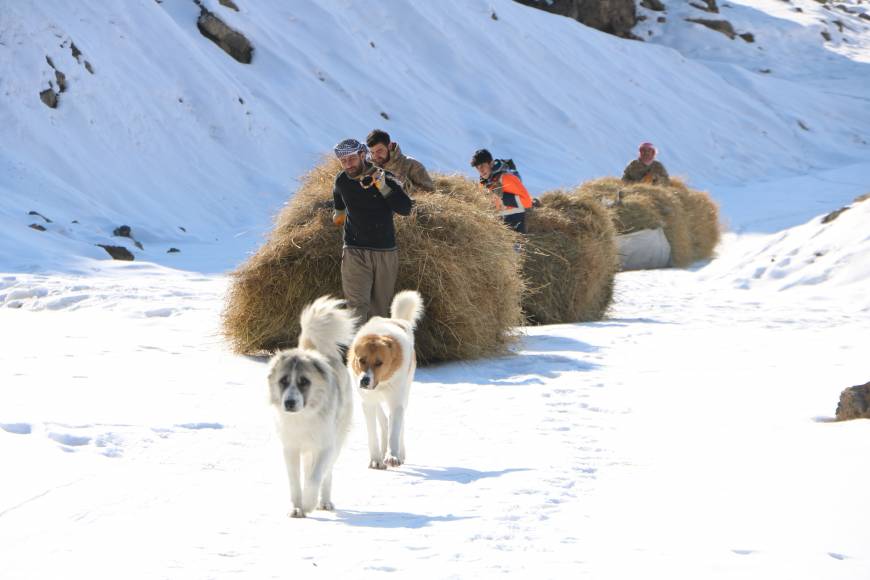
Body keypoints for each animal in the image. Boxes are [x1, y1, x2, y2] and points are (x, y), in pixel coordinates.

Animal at [270, 296, 358, 520]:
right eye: (283, 381)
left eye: (304, 381)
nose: (289, 403)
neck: (303, 417)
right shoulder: (291, 448)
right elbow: (295, 482)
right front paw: (296, 508)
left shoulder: (325, 446)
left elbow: (315, 477)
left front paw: (308, 503)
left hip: (337, 440)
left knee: (327, 474)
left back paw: (324, 502)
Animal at [350, 292, 426, 468]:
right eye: (361, 360)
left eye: (379, 363)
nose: (364, 380)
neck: (382, 383)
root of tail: (397, 320)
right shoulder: (368, 403)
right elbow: (373, 434)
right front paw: (376, 459)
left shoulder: (397, 402)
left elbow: (395, 430)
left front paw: (393, 456)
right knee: (384, 421)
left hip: (404, 394)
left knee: (397, 423)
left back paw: (400, 453)